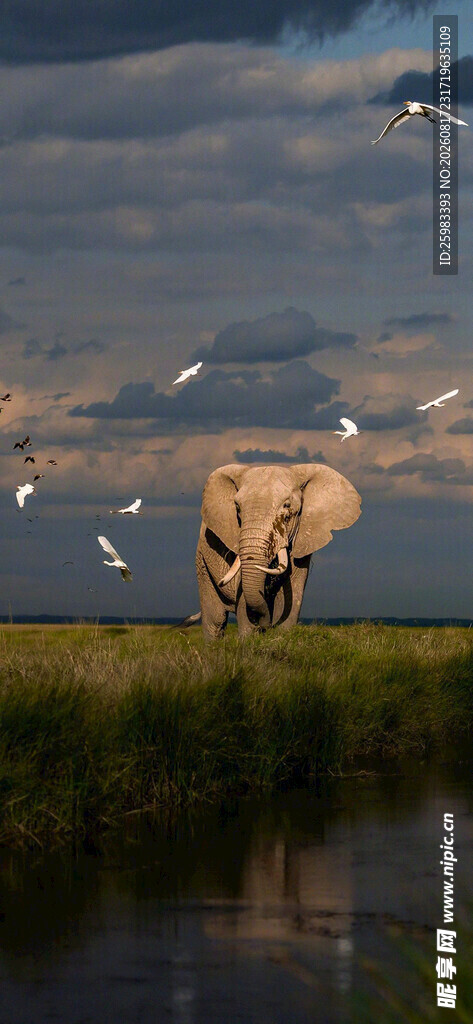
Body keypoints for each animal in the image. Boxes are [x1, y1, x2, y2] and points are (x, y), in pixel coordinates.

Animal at [195, 463, 361, 639]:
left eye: (287, 506)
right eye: (237, 507)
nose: (265, 625)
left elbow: (291, 599)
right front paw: (250, 640)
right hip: (202, 561)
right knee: (215, 620)